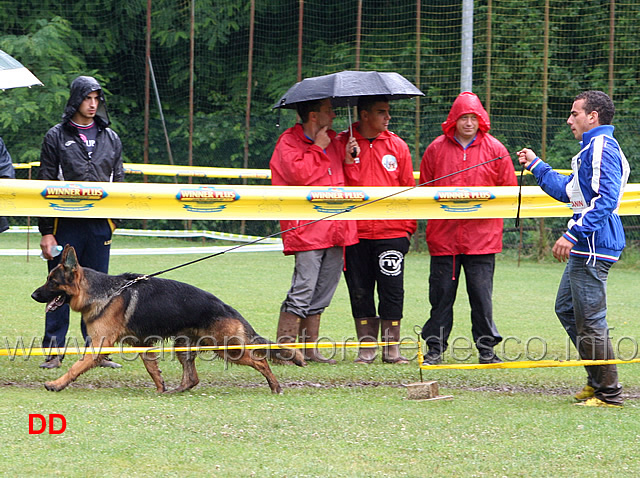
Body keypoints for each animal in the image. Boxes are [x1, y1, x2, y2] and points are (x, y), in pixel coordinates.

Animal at [31, 245, 306, 394]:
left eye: (51, 281)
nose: (33, 295)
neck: (102, 292)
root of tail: (229, 308)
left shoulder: (99, 346)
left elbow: (76, 367)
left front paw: (56, 384)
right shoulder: (141, 344)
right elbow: (152, 368)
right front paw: (160, 387)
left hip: (228, 349)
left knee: (261, 361)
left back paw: (275, 386)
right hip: (184, 345)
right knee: (193, 378)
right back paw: (176, 390)